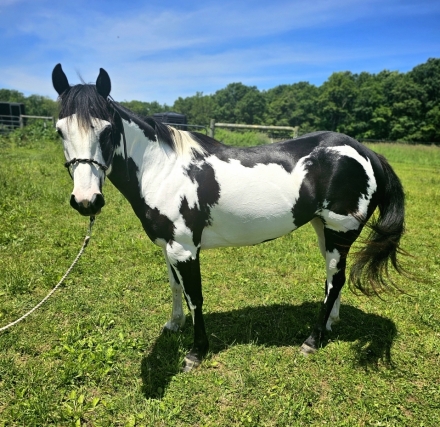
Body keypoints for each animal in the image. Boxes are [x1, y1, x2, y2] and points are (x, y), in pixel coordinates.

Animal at [51, 65, 406, 372]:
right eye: (59, 131)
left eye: (107, 130)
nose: (86, 201)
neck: (162, 171)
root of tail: (367, 153)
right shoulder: (168, 247)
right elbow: (175, 287)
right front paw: (174, 325)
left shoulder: (185, 250)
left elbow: (195, 297)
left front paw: (196, 353)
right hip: (325, 230)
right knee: (335, 278)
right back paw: (331, 323)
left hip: (339, 231)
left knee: (335, 280)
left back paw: (312, 340)